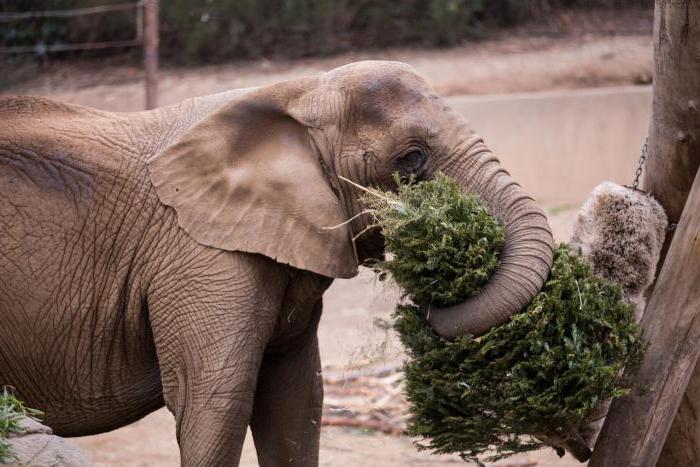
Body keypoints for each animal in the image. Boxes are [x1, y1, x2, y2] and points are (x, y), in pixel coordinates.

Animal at [1, 60, 552, 466]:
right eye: (411, 159)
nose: (422, 303)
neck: (298, 92)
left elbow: (296, 399)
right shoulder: (202, 257)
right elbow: (216, 405)